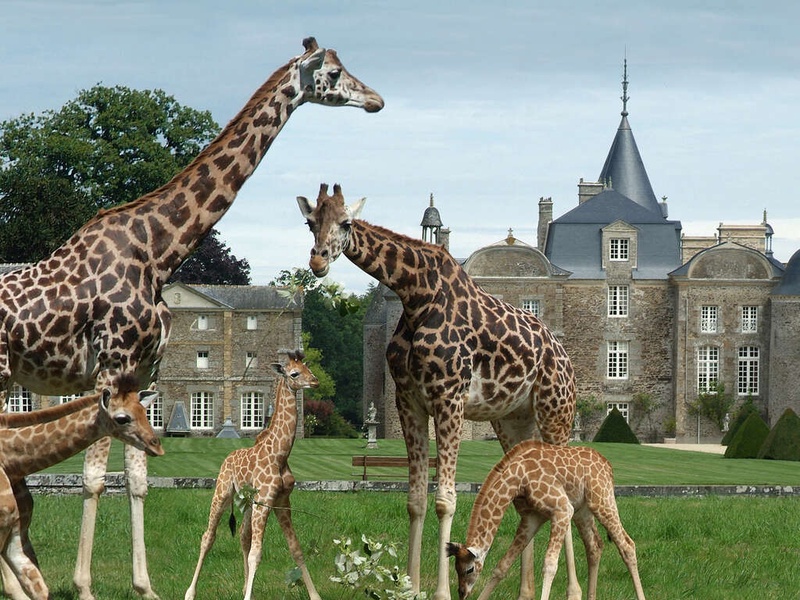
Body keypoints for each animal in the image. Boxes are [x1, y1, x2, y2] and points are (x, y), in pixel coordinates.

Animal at [0, 376, 162, 600]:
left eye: (145, 412)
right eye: (122, 418)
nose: (156, 445)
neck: (10, 459)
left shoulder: (17, 531)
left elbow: (39, 587)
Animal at [188, 350, 322, 600]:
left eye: (308, 368)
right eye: (294, 373)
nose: (315, 381)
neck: (280, 454)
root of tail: (227, 457)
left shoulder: (281, 501)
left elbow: (296, 549)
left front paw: (315, 595)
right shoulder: (266, 500)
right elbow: (256, 552)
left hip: (249, 502)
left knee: (243, 534)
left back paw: (242, 587)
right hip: (222, 492)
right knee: (207, 537)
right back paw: (190, 592)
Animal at [296, 184, 580, 600]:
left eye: (346, 222)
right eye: (310, 222)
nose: (317, 261)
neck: (416, 295)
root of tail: (564, 355)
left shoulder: (449, 399)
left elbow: (446, 500)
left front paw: (442, 591)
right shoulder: (408, 401)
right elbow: (415, 500)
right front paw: (409, 585)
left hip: (555, 413)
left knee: (568, 494)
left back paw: (575, 590)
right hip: (514, 421)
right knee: (528, 502)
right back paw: (525, 592)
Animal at [446, 440, 648, 600]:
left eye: (469, 569)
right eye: (456, 568)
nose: (462, 593)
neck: (518, 479)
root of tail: (608, 465)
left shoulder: (562, 509)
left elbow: (550, 565)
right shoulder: (532, 518)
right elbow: (502, 565)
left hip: (601, 499)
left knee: (627, 545)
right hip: (583, 510)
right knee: (594, 546)